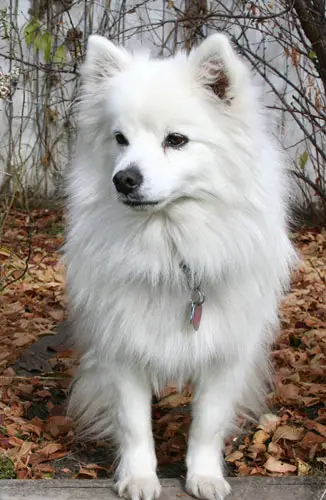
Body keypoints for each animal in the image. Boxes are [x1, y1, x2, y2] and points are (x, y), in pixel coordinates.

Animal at [65, 34, 296, 500]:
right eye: (120, 138)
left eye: (176, 140)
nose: (124, 179)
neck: (172, 249)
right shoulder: (122, 347)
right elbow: (134, 424)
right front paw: (139, 478)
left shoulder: (225, 351)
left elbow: (207, 423)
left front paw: (203, 477)